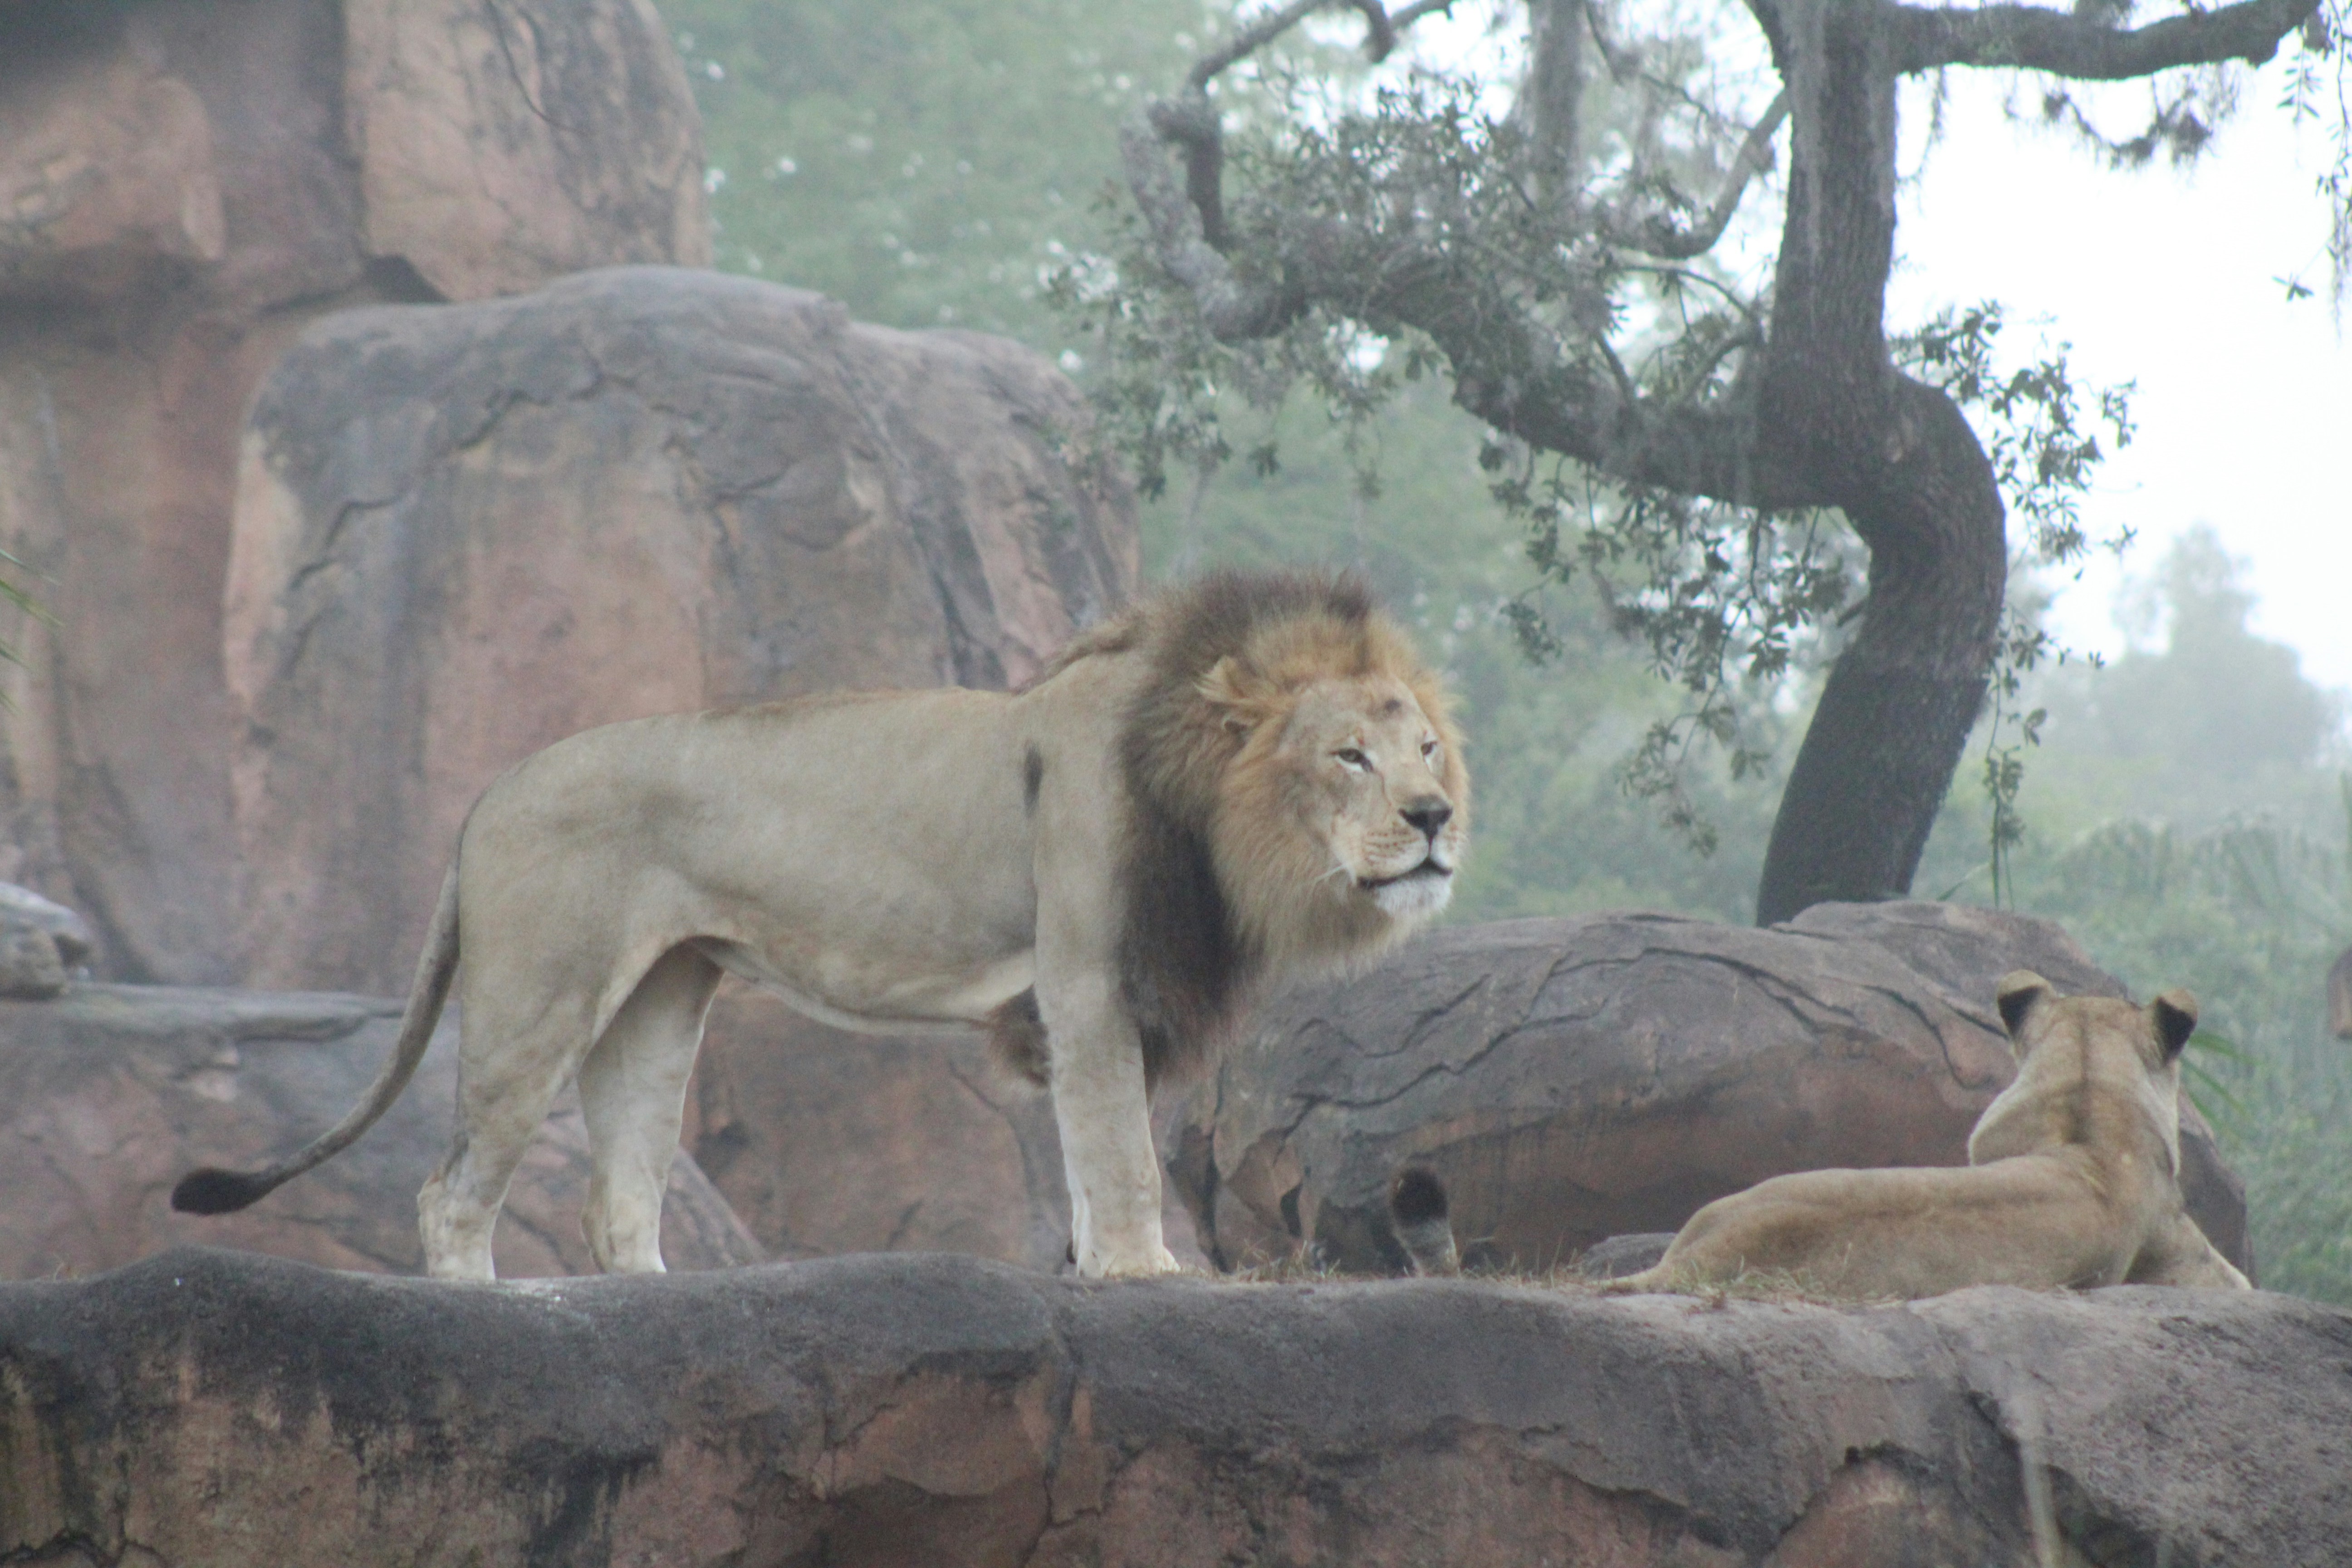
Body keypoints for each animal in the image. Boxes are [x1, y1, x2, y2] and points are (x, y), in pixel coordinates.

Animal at [174, 571, 1469, 1280]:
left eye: (1424, 746)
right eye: (1348, 754)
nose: (1436, 817)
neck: (1205, 807)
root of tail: (484, 797)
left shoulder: (1110, 992)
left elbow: (1090, 1147)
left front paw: (1100, 1264)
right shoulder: (1088, 975)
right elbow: (1120, 1149)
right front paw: (1147, 1270)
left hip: (659, 1001)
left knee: (617, 1192)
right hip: (537, 996)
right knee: (450, 1190)